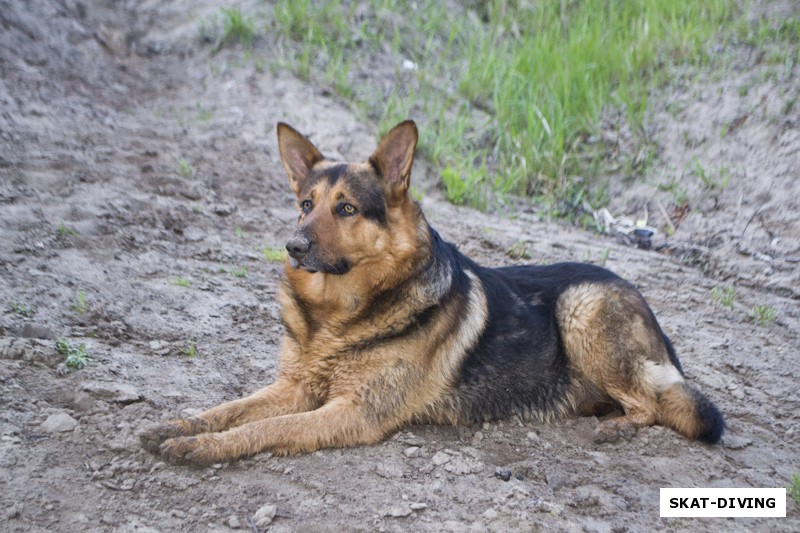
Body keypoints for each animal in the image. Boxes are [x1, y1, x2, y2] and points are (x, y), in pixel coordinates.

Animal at [139, 121, 724, 466]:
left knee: (657, 404)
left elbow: (265, 428)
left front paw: (198, 447)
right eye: (306, 204)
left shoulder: (354, 411)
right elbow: (230, 408)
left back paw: (616, 429)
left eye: (347, 209)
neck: (338, 315)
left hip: (582, 306)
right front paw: (178, 425)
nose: (294, 246)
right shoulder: (295, 387)